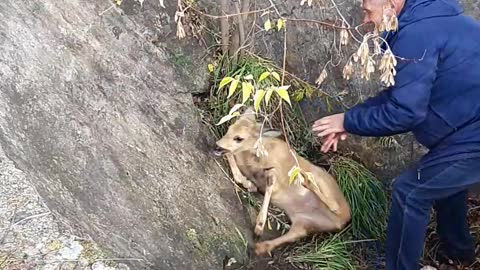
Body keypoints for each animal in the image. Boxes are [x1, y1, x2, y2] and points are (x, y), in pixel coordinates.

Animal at [214, 107, 352, 255]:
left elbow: (270, 184)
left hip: (320, 181)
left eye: (239, 138)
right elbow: (230, 156)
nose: (217, 146)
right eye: (229, 128)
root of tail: (344, 219)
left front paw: (259, 226)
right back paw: (260, 247)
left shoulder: (275, 172)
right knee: (295, 234)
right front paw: (248, 184)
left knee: (321, 193)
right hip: (304, 222)